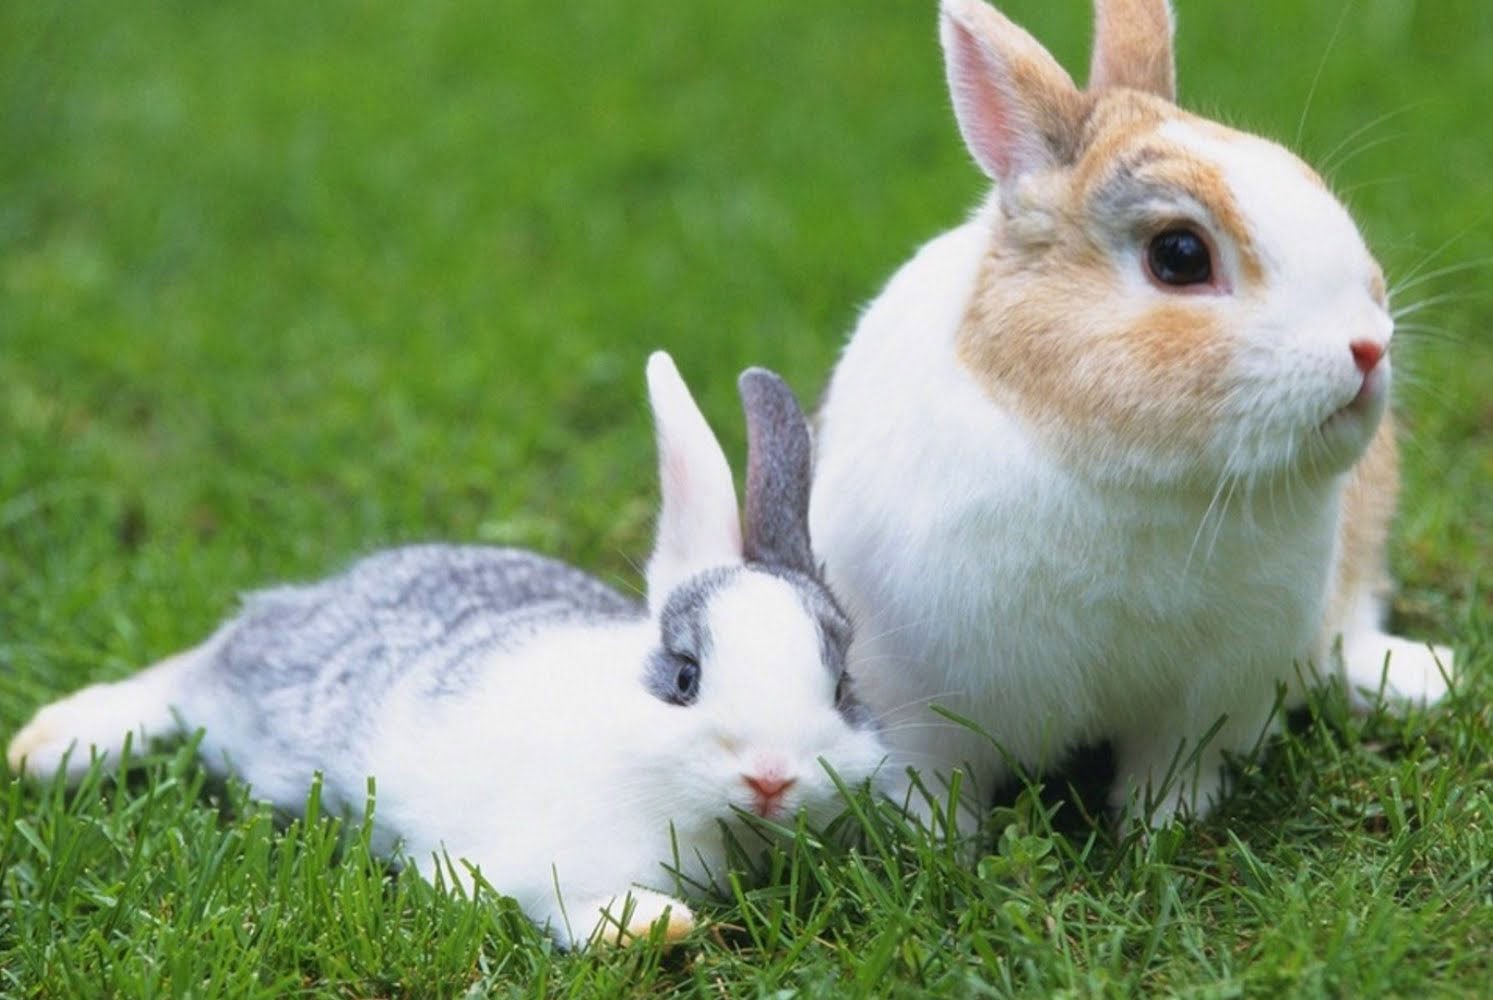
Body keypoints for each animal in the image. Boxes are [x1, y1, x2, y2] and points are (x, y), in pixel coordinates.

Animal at [7, 352, 888, 949]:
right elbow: (558, 897)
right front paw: (651, 927)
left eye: (843, 689)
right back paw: (48, 748)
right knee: (178, 681)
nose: (770, 777)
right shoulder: (531, 858)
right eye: (683, 677)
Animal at [809, 0, 1454, 829]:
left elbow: (1175, 770)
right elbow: (935, 785)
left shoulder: (1213, 697)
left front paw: (1159, 829)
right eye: (1178, 255)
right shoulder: (913, 698)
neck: (1131, 477)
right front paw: (939, 844)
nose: (1369, 346)